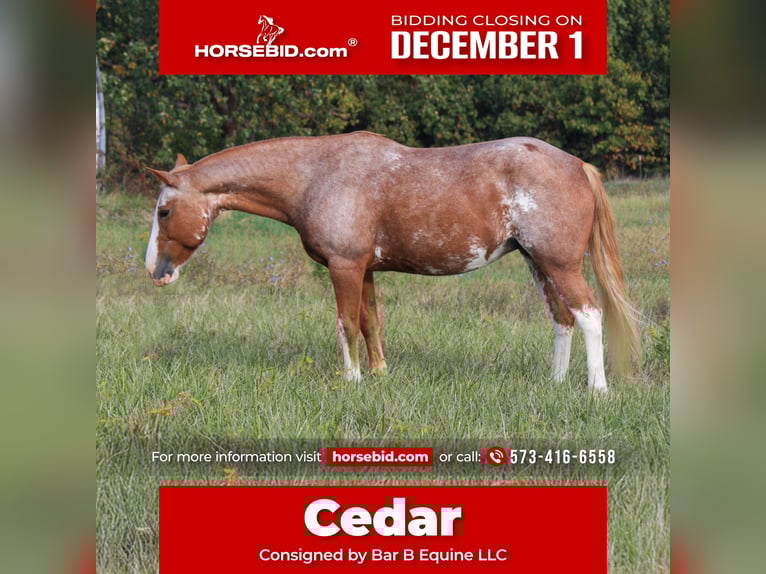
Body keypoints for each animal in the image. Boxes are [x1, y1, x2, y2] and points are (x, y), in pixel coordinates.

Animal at [145, 132, 639, 392]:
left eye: (164, 211)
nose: (155, 272)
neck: (318, 175)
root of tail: (577, 165)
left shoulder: (344, 266)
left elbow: (345, 323)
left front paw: (352, 380)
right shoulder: (364, 269)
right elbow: (370, 322)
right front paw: (379, 374)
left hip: (560, 265)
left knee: (589, 314)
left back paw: (596, 389)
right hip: (539, 265)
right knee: (562, 319)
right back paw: (555, 382)